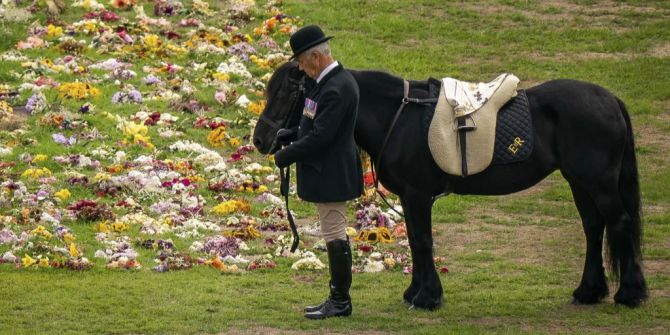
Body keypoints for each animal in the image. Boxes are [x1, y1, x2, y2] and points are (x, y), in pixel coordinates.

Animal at [255, 62, 648, 310]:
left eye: (285, 92)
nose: (261, 140)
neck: (398, 116)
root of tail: (609, 99)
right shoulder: (410, 197)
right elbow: (417, 242)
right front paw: (415, 293)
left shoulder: (417, 195)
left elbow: (422, 242)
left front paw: (427, 298)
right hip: (579, 181)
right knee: (594, 228)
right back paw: (589, 290)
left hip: (598, 183)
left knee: (620, 223)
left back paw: (630, 293)